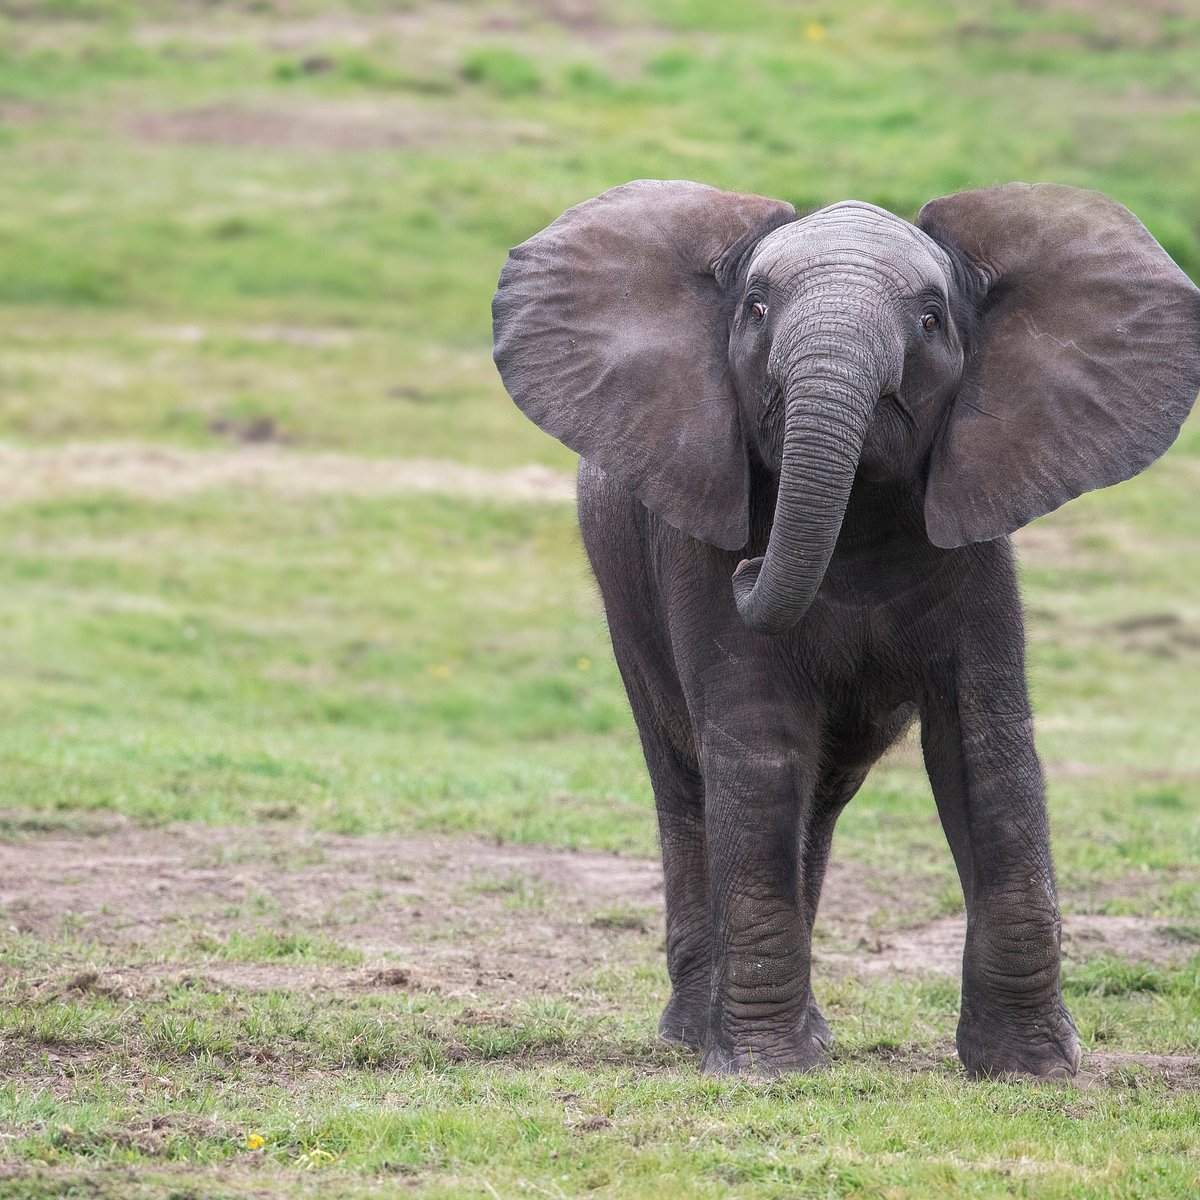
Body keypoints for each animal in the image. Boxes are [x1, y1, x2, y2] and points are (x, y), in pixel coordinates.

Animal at [489, 177, 1200, 1080]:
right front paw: (766, 1070)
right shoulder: (695, 536)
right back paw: (696, 1034)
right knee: (687, 777)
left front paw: (1030, 1070)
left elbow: (984, 747)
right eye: (755, 307)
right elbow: (759, 740)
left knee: (821, 795)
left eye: (931, 318)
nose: (750, 567)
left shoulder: (975, 535)